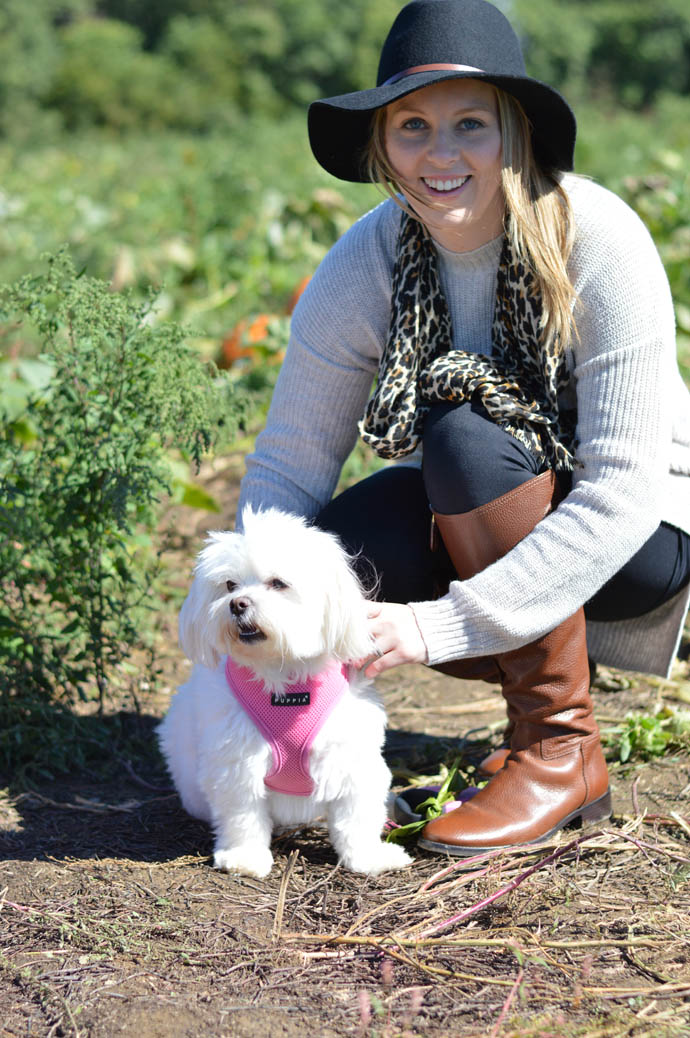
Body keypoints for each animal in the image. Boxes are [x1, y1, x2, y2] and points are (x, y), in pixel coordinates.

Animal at [158, 506, 410, 880]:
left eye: (278, 583)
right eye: (229, 585)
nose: (237, 604)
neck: (284, 680)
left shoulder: (352, 758)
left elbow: (356, 816)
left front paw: (369, 858)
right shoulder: (236, 764)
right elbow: (243, 817)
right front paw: (245, 858)